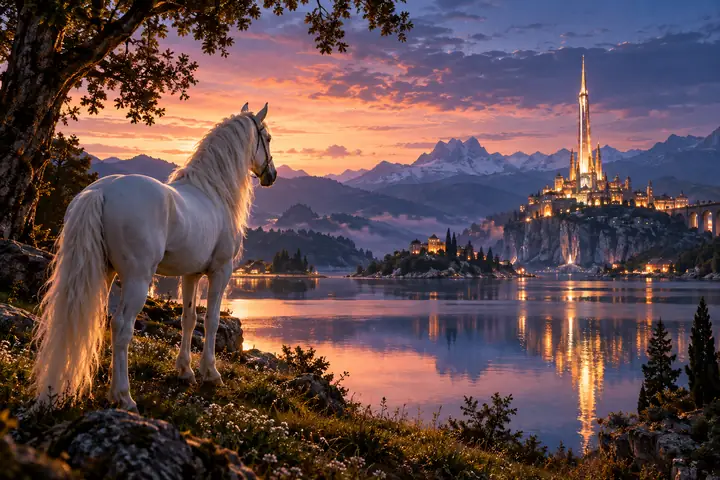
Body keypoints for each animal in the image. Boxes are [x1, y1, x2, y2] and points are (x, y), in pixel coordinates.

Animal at [32, 102, 277, 411]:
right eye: (267, 138)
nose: (272, 175)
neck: (212, 194)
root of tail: (100, 191)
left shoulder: (191, 274)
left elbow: (189, 319)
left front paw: (185, 372)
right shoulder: (221, 271)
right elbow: (211, 320)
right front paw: (211, 374)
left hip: (104, 273)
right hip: (137, 279)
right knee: (121, 326)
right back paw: (124, 397)